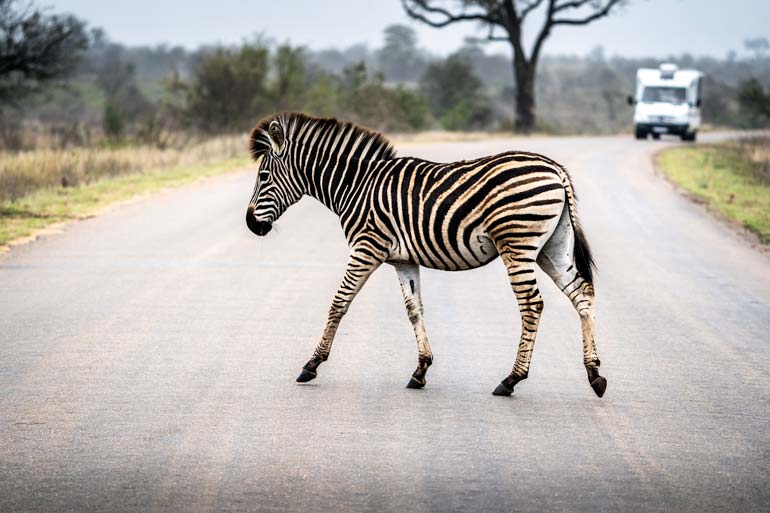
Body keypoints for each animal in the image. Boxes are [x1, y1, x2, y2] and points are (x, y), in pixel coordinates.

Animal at [246, 113, 608, 396]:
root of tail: (556, 170)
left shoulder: (367, 247)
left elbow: (339, 302)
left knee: (532, 305)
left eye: (263, 177)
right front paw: (420, 370)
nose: (250, 224)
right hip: (553, 247)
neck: (355, 186)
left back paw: (511, 380)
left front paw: (311, 364)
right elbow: (414, 310)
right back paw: (595, 374)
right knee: (583, 294)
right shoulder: (403, 259)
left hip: (517, 243)